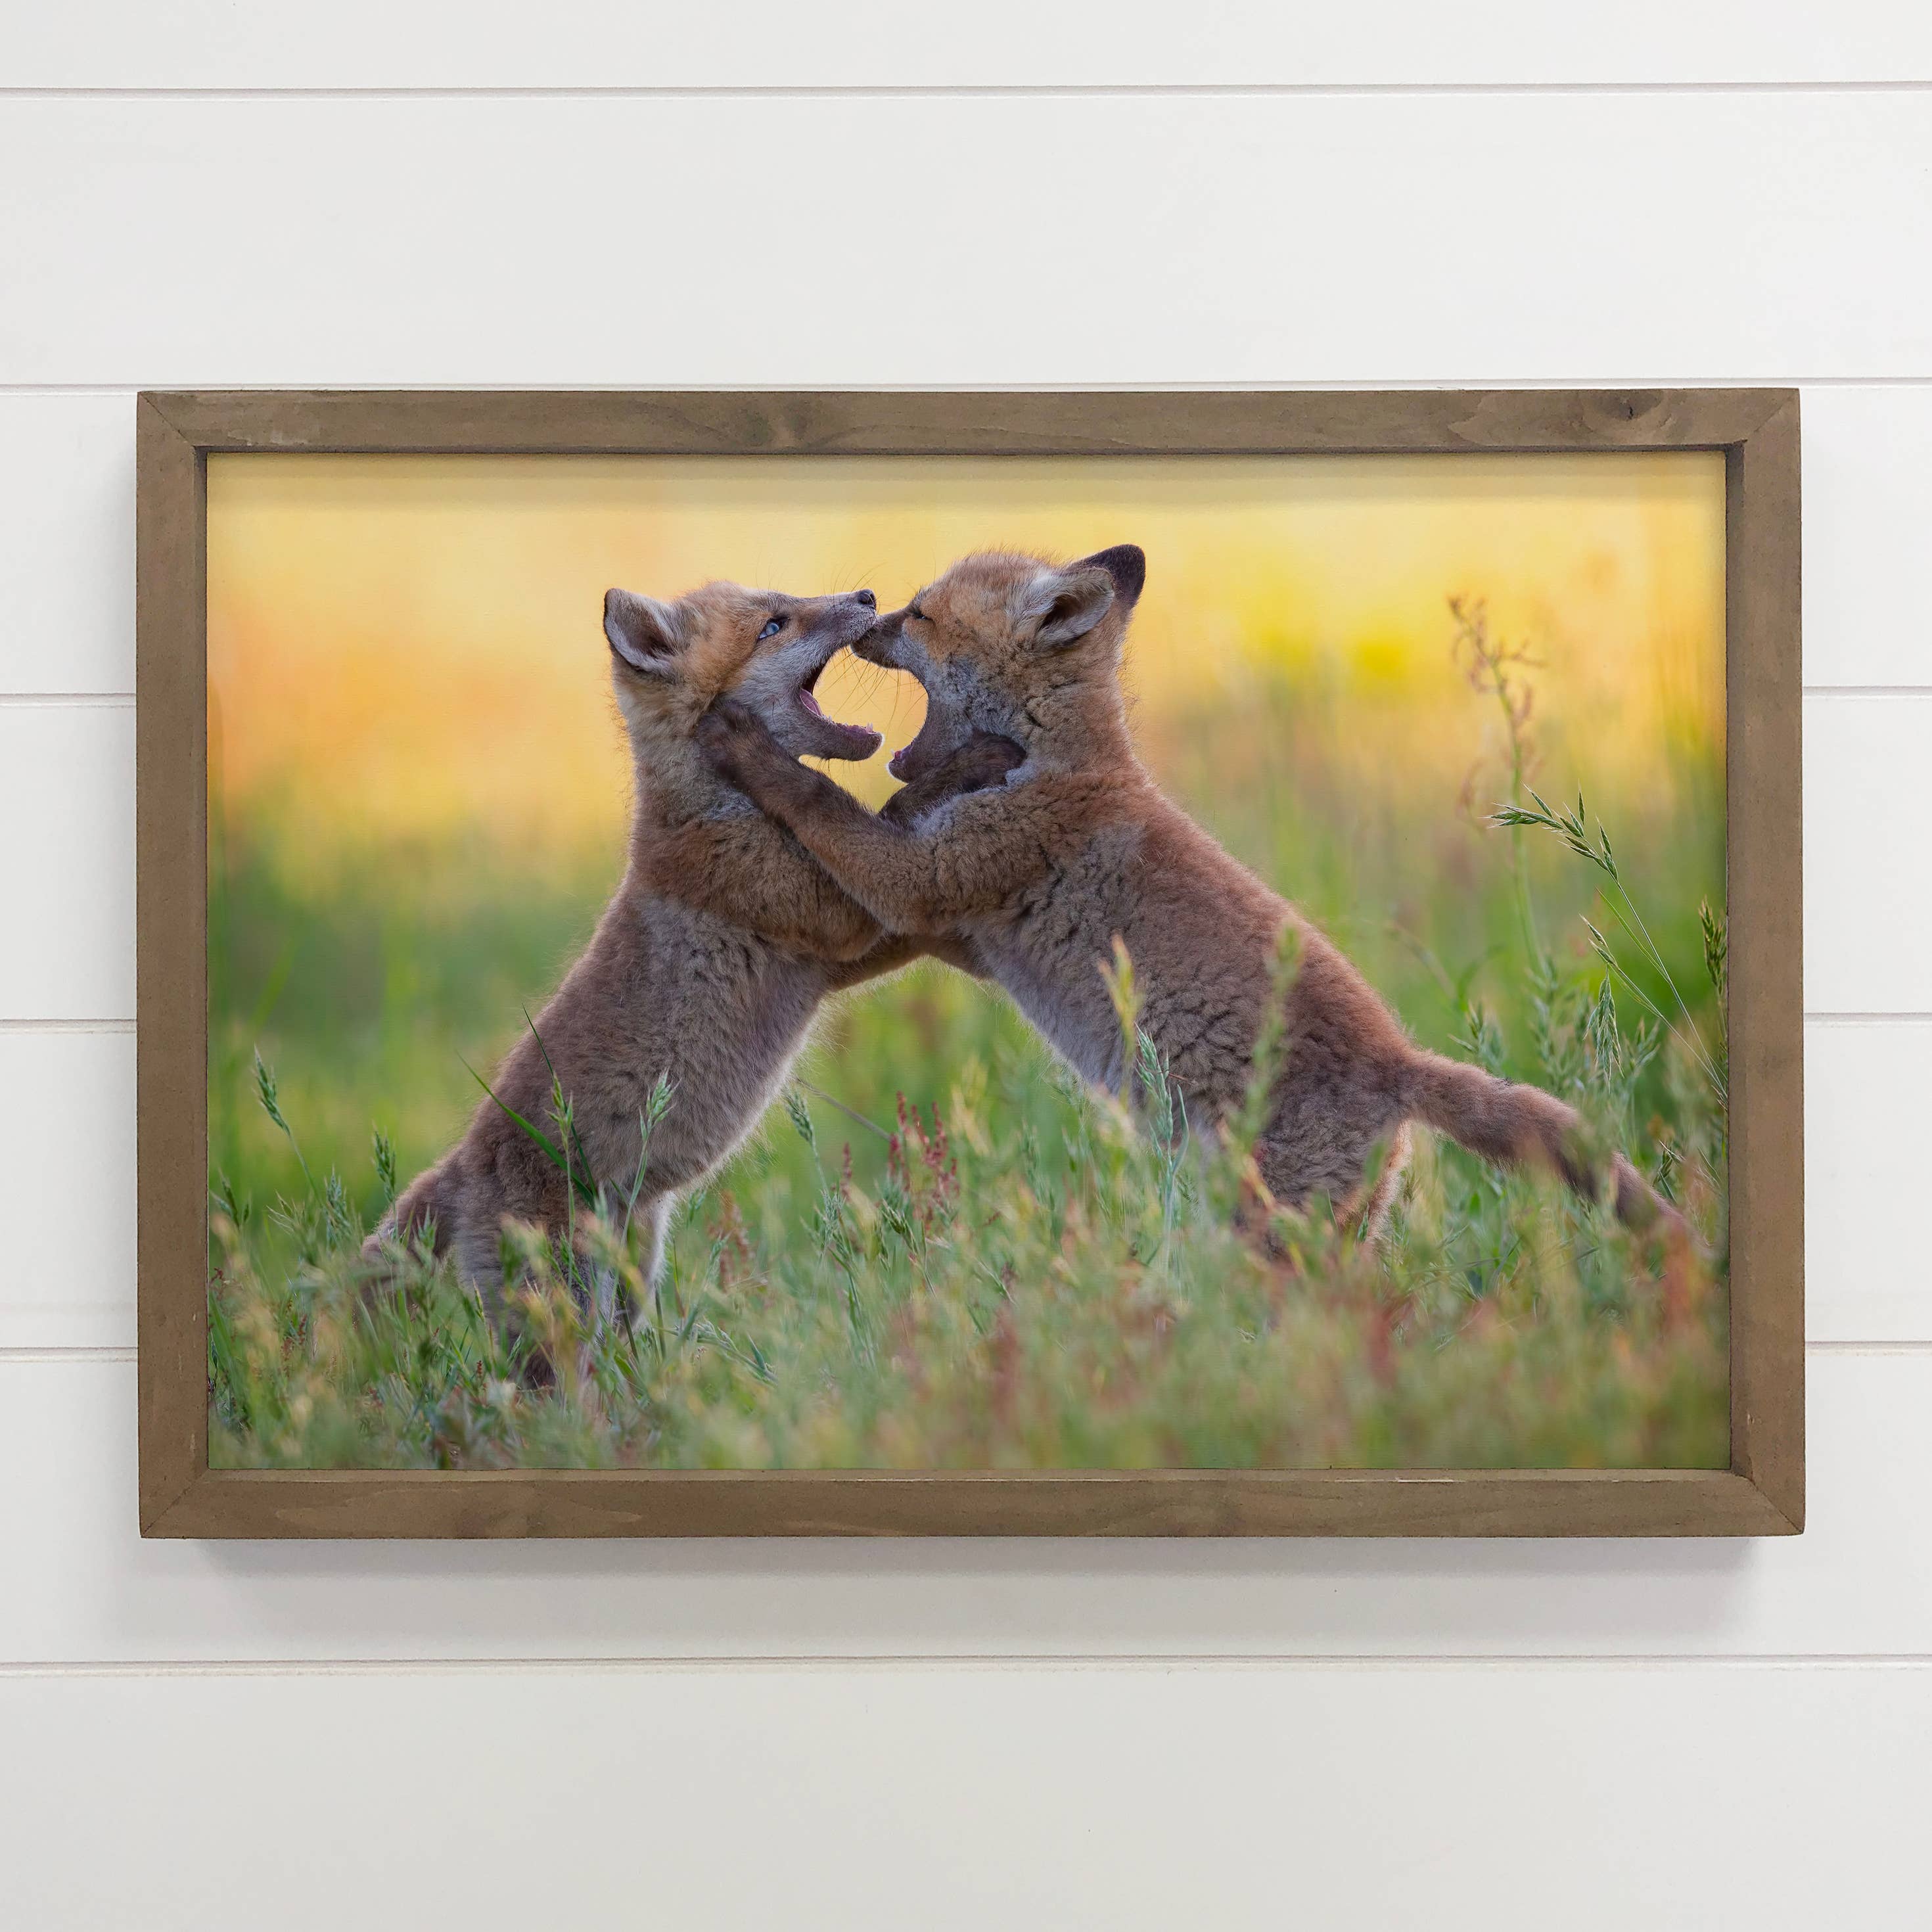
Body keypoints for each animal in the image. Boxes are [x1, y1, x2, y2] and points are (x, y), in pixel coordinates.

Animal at [367, 579, 1021, 1315]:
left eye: (785, 604)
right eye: (773, 626)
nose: (866, 594)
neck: (712, 809)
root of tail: (456, 1168)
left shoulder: (836, 957)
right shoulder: (835, 918)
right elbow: (885, 812)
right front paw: (977, 763)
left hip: (632, 1279)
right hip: (566, 1310)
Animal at [695, 544, 1680, 1241]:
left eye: (924, 615)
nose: (868, 610)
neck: (1060, 765)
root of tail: (1401, 1063)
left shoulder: (927, 883)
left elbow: (822, 804)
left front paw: (748, 749)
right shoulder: (953, 929)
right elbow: (884, 824)